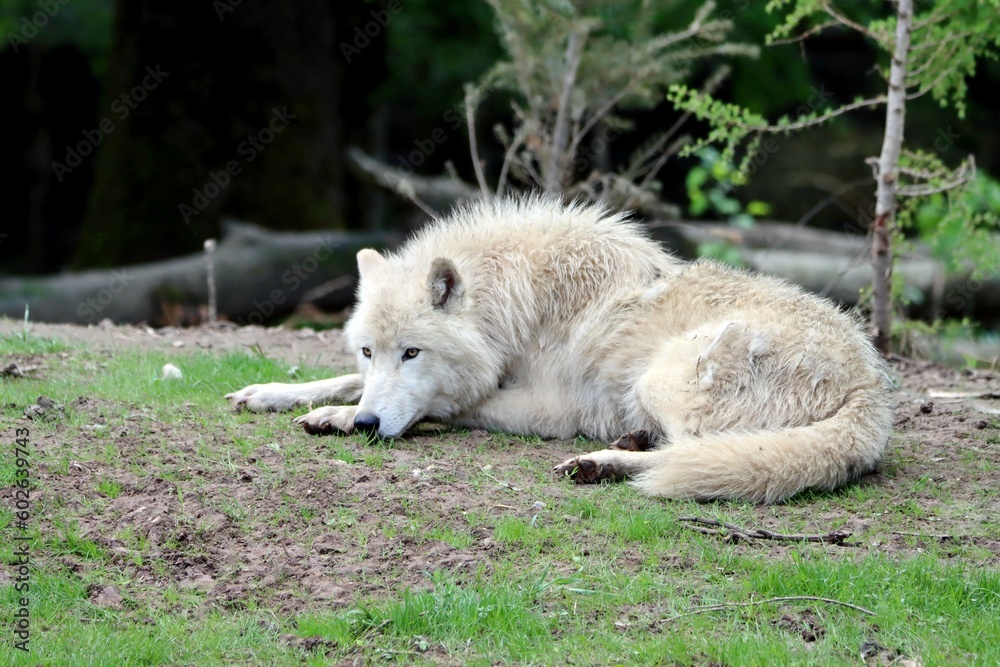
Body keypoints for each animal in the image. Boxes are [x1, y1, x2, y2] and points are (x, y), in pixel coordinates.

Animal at [226, 197, 894, 503]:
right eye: (369, 352)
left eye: (412, 354)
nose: (367, 425)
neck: (522, 307)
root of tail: (872, 389)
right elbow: (341, 382)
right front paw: (276, 395)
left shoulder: (549, 408)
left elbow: (445, 406)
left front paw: (343, 418)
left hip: (662, 376)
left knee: (700, 453)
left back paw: (600, 463)